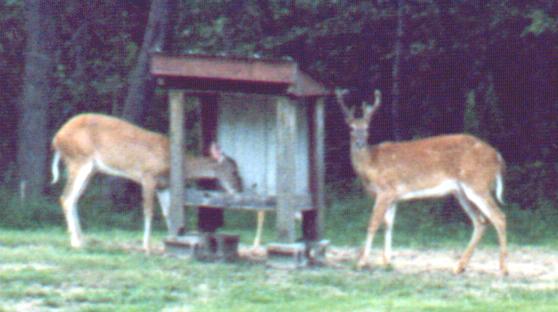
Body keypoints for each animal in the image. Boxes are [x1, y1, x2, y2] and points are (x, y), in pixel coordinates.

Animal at [52, 113, 243, 252]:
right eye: (234, 170)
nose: (239, 188)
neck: (172, 161)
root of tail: (56, 139)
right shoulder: (148, 176)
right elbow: (149, 212)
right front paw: (147, 246)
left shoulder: (164, 186)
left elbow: (168, 213)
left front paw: (173, 241)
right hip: (79, 160)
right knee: (67, 197)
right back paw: (76, 243)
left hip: (89, 169)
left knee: (72, 198)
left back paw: (81, 240)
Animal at [336, 88, 512, 276]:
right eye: (351, 128)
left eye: (367, 127)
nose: (360, 143)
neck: (371, 164)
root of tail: (498, 157)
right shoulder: (394, 196)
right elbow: (388, 224)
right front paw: (387, 262)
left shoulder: (385, 190)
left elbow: (373, 223)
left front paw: (362, 262)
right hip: (461, 192)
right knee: (481, 221)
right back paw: (459, 266)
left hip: (477, 184)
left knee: (499, 217)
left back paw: (503, 268)